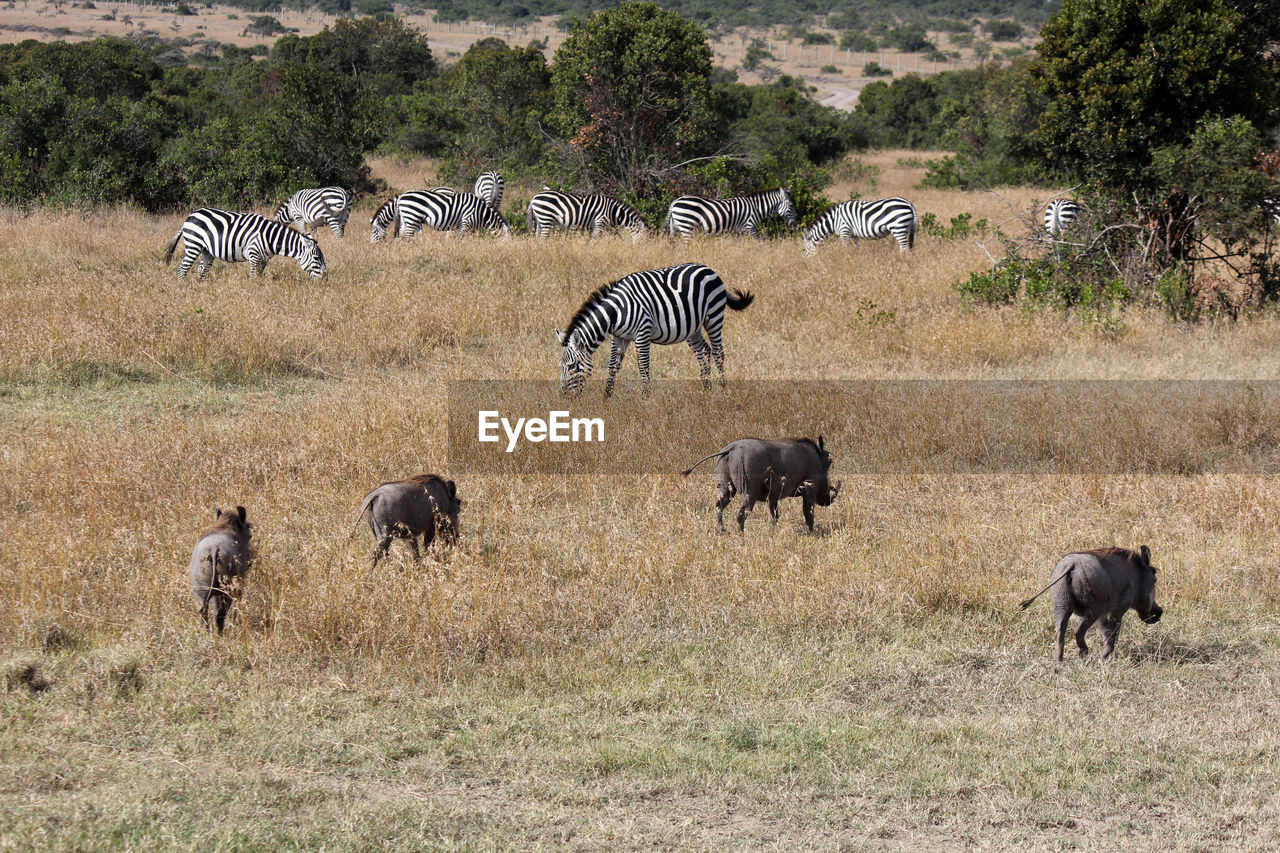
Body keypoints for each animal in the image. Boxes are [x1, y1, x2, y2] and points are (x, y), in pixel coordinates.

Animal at [162, 207, 330, 280]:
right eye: (316, 258)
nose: (325, 278)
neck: (271, 237)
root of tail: (190, 216)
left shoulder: (263, 259)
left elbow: (259, 276)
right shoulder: (254, 254)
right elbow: (253, 276)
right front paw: (253, 293)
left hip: (206, 250)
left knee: (202, 269)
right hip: (193, 245)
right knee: (182, 269)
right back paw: (183, 288)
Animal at [558, 262, 752, 394]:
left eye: (572, 365)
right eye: (560, 366)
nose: (564, 396)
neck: (616, 312)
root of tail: (708, 269)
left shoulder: (642, 332)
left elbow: (643, 366)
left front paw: (646, 398)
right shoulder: (619, 337)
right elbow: (613, 366)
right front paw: (607, 398)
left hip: (713, 316)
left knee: (719, 352)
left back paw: (722, 389)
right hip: (692, 327)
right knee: (704, 350)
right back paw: (706, 388)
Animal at [665, 186, 793, 236]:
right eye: (791, 206)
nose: (794, 224)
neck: (757, 208)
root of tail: (675, 201)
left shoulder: (738, 231)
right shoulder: (750, 227)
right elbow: (762, 242)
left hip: (676, 226)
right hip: (687, 225)